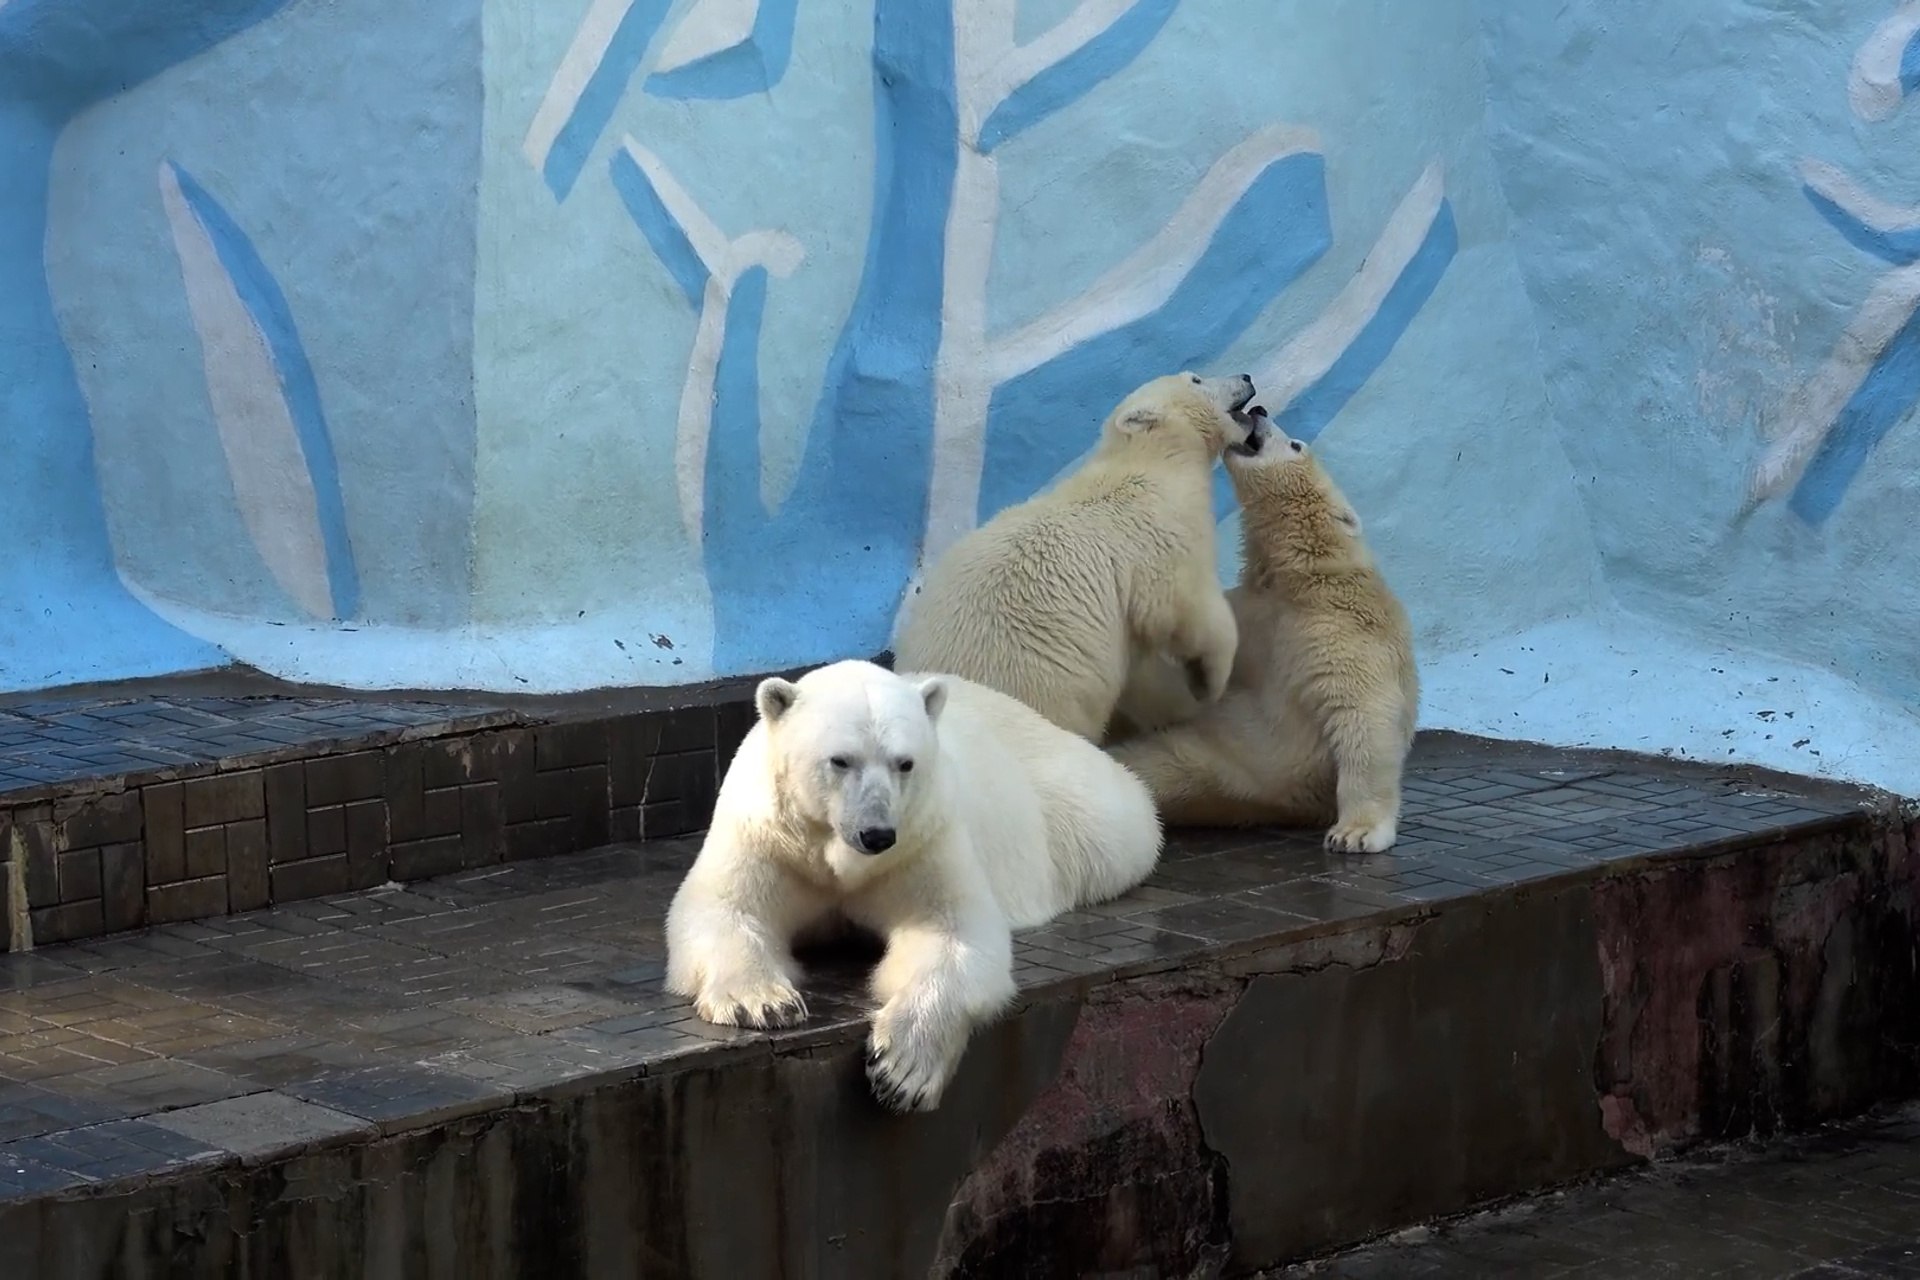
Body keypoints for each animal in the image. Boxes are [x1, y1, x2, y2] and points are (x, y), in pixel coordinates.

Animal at [668, 660, 1159, 1113]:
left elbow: (949, 930)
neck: (836, 854)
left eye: (905, 763)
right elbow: (725, 907)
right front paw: (763, 1004)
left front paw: (900, 1070)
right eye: (840, 760)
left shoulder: (921, 841)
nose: (876, 834)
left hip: (1073, 810)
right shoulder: (769, 838)